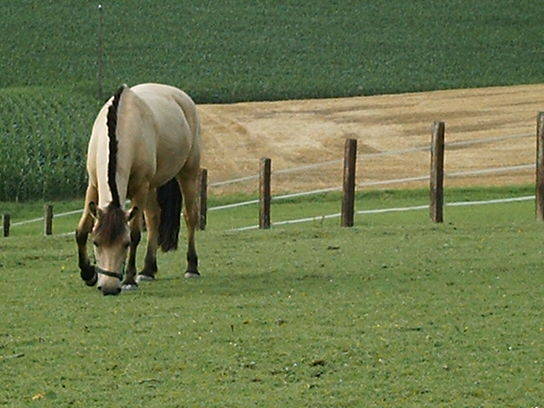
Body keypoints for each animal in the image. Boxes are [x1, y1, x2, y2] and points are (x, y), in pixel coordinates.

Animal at [76, 83, 202, 294]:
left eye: (125, 244)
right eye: (96, 242)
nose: (109, 288)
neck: (124, 124)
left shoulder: (140, 188)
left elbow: (135, 233)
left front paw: (129, 280)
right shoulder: (92, 186)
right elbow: (82, 230)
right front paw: (88, 274)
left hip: (187, 174)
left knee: (190, 216)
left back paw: (191, 268)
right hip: (151, 187)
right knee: (154, 219)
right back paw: (148, 270)